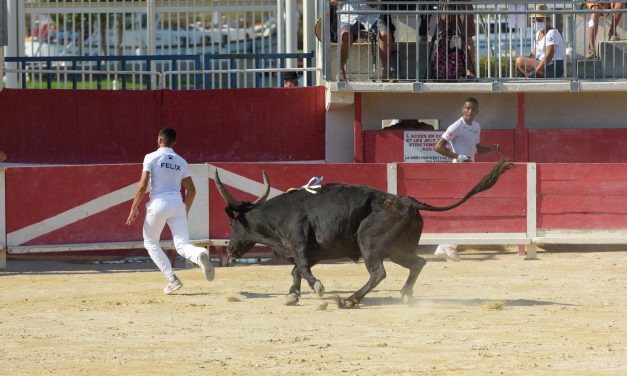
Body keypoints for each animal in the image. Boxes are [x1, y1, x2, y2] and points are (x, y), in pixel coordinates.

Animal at [213, 160, 512, 306]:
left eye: (231, 224)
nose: (229, 250)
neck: (278, 216)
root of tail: (408, 202)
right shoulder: (314, 252)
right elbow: (296, 270)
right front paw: (292, 295)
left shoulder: (299, 245)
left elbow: (301, 269)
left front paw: (317, 288)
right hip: (397, 249)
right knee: (418, 263)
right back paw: (405, 294)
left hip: (370, 244)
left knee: (378, 272)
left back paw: (350, 299)